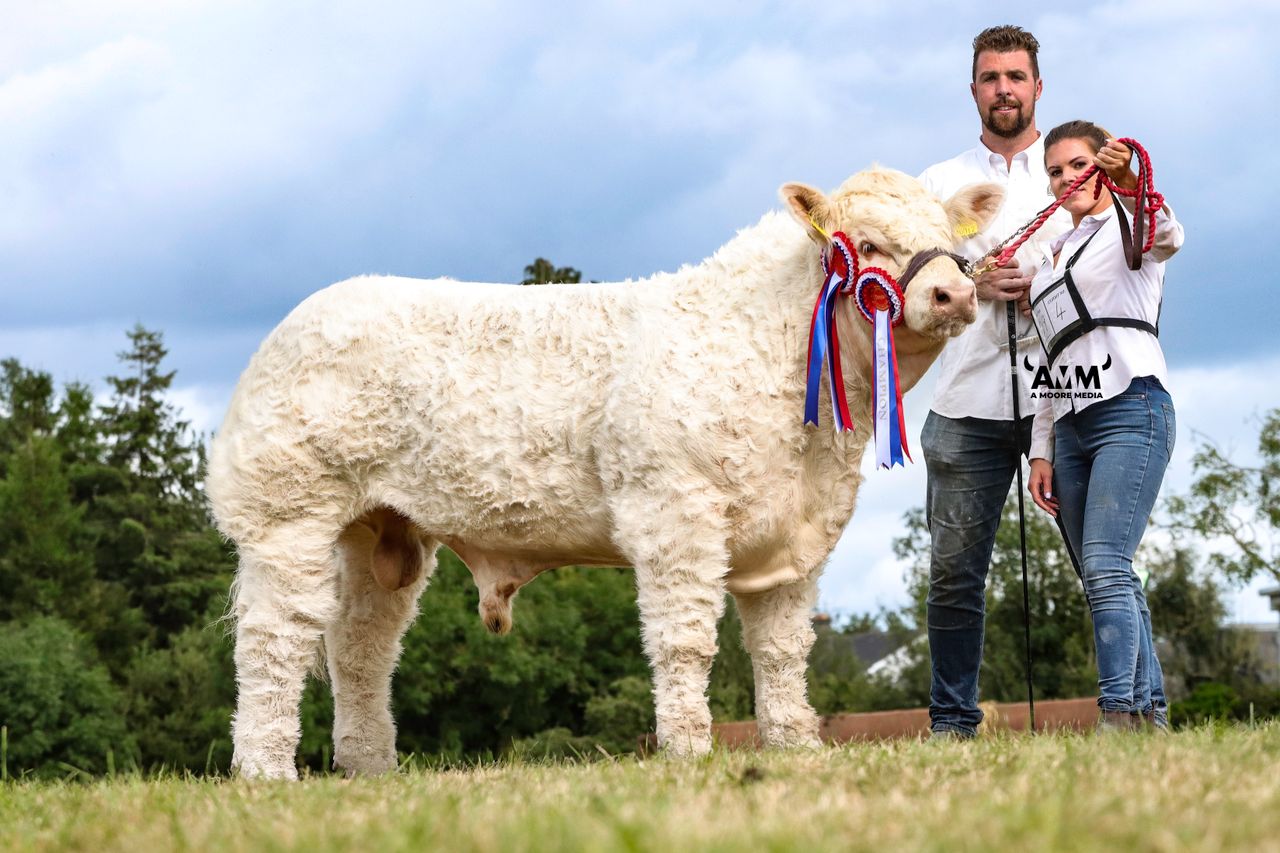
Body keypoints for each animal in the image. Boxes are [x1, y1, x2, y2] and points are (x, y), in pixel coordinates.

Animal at [207, 167, 1002, 779]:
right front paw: (688, 750)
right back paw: (266, 770)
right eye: (865, 244)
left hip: (381, 533)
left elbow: (781, 652)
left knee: (361, 645)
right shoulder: (675, 515)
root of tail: (295, 322)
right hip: (290, 518)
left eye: (949, 236)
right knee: (274, 643)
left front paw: (795, 746)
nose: (955, 295)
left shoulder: (793, 543)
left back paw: (370, 766)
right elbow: (684, 640)